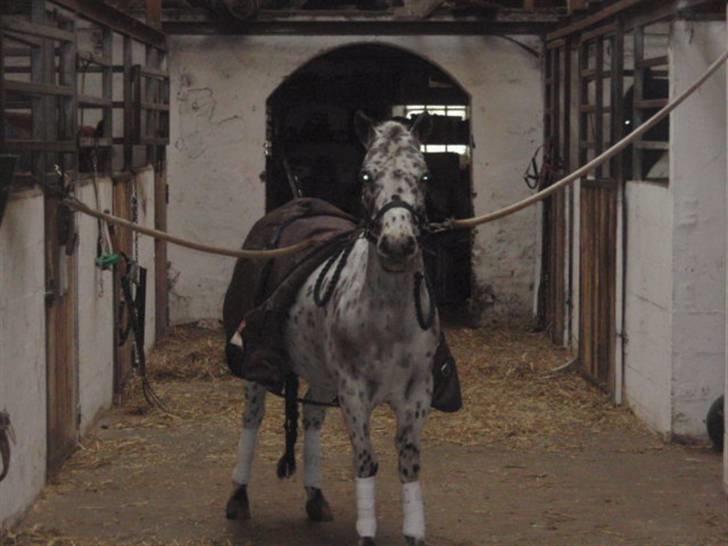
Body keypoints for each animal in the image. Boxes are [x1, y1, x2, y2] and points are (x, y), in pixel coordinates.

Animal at [226, 112, 439, 546]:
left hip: (323, 375)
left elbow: (409, 464)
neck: (388, 316)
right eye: (366, 175)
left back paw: (315, 495)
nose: (397, 244)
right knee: (252, 417)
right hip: (260, 371)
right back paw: (238, 495)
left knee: (310, 418)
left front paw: (414, 533)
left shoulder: (417, 395)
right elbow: (366, 462)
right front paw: (366, 534)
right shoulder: (354, 393)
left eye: (423, 175)